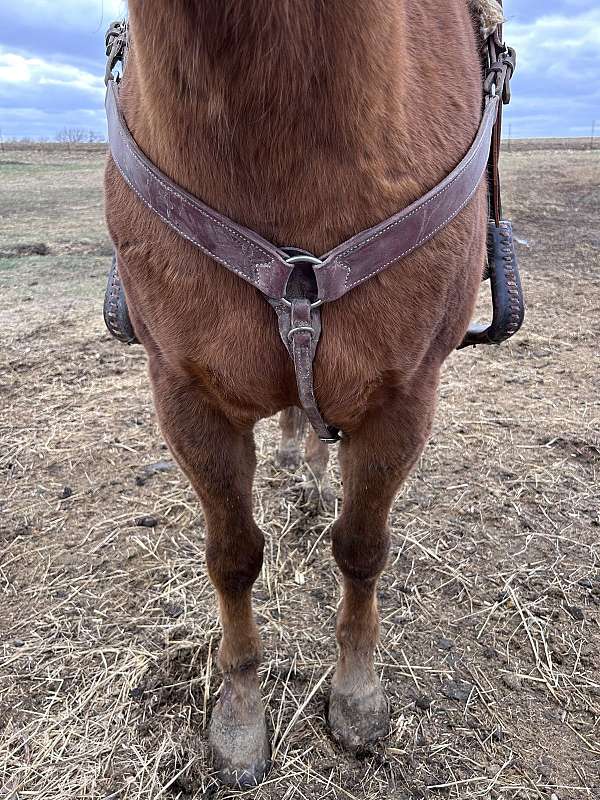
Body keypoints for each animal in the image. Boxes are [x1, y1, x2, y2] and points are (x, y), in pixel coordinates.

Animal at [104, 0, 506, 787]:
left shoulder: (403, 396)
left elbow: (362, 548)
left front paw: (356, 697)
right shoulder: (185, 393)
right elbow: (232, 557)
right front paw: (238, 718)